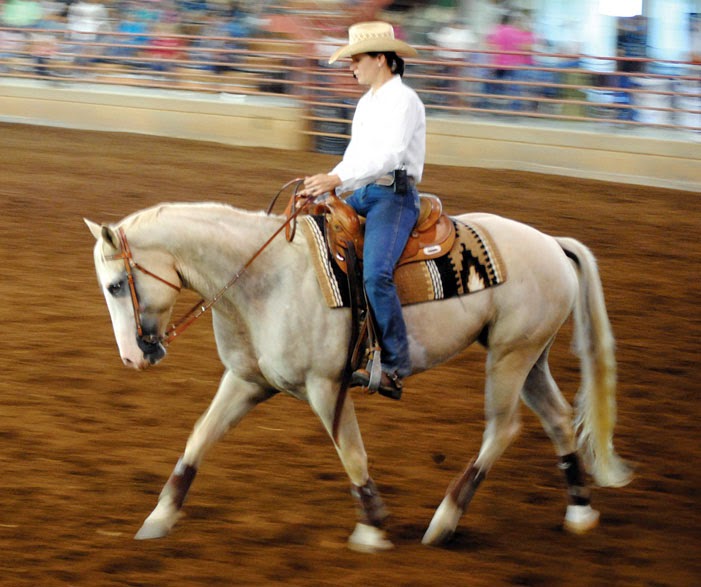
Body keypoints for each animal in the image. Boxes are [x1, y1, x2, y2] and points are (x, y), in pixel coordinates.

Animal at [85, 198, 631, 552]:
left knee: (503, 428)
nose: (132, 358)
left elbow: (351, 454)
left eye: (115, 286)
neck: (266, 279)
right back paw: (579, 511)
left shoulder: (326, 387)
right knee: (557, 419)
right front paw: (159, 516)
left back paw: (444, 521)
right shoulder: (247, 381)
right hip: (530, 354)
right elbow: (199, 438)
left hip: (509, 356)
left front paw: (371, 527)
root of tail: (552, 244)